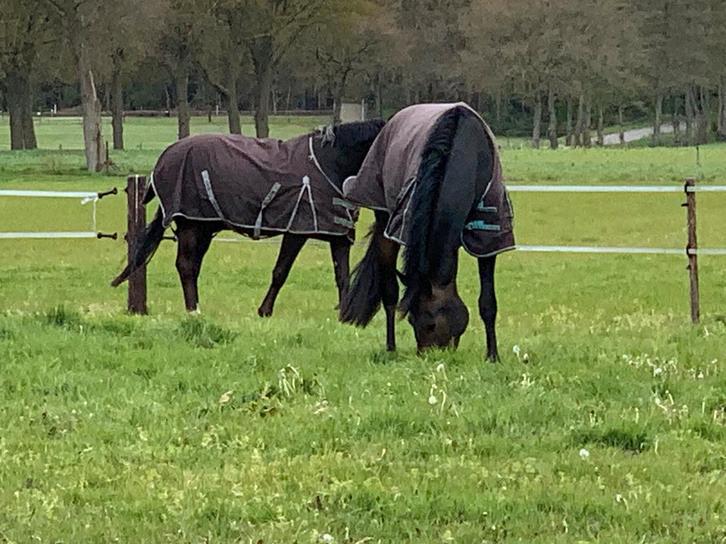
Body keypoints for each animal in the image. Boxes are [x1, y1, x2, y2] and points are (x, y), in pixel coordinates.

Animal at [111, 119, 386, 315]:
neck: (330, 164)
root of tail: (166, 156)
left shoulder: (338, 236)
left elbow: (342, 276)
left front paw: (345, 313)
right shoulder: (297, 232)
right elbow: (281, 271)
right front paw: (264, 311)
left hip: (204, 227)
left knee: (193, 265)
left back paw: (196, 307)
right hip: (191, 225)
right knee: (186, 265)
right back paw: (193, 311)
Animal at [339, 103, 514, 361]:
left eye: (431, 324)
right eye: (412, 321)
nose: (427, 355)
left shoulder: (489, 236)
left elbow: (488, 302)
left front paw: (492, 356)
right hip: (385, 220)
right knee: (389, 291)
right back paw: (390, 348)